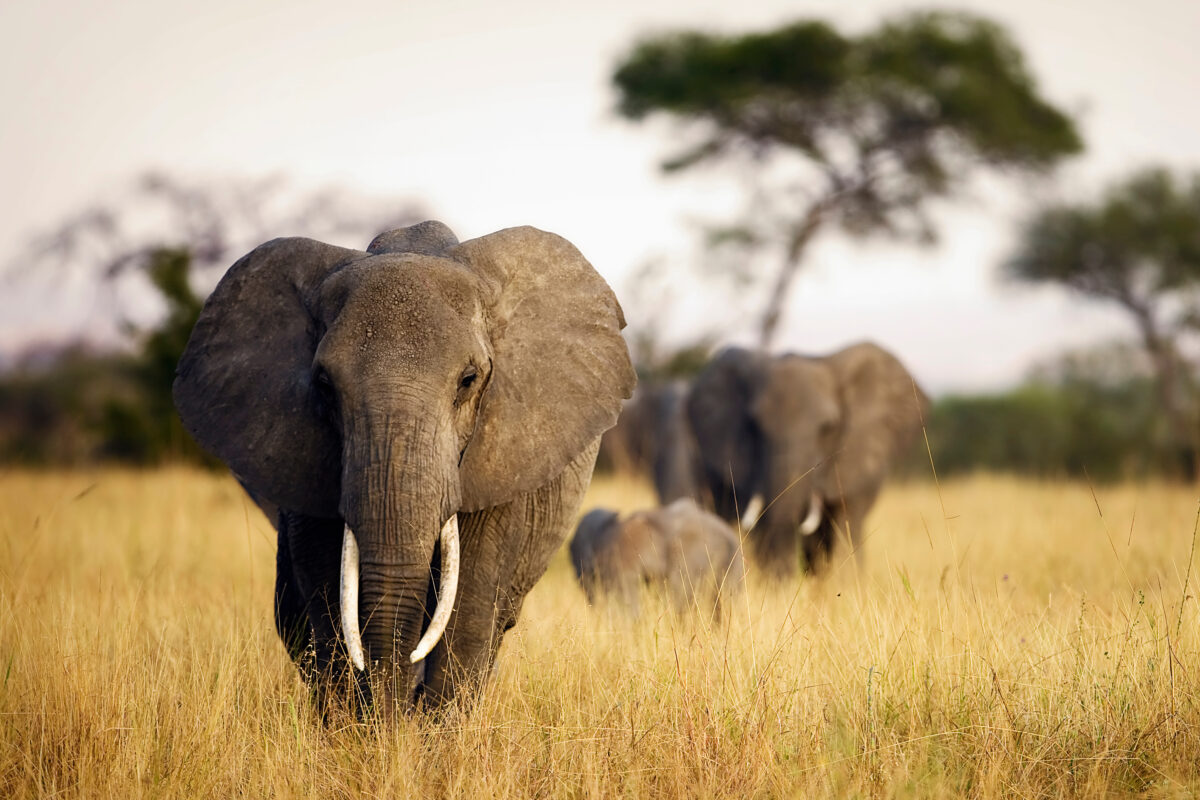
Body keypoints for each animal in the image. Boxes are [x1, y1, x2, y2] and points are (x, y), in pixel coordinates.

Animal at [174, 220, 638, 714]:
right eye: (324, 385)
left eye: (469, 381)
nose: (395, 715)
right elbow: (327, 593)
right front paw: (359, 729)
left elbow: (470, 607)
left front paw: (429, 732)